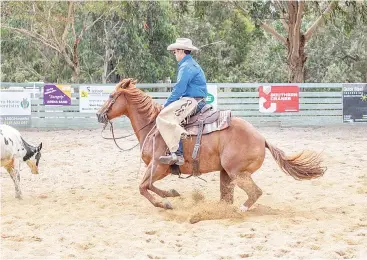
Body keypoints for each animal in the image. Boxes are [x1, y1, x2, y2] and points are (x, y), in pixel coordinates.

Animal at [96, 78, 326, 210]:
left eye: (111, 95)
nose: (99, 115)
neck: (153, 126)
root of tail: (261, 138)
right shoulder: (157, 168)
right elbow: (148, 185)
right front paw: (172, 194)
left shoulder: (159, 165)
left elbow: (143, 187)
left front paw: (165, 202)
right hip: (226, 173)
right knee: (228, 196)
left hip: (237, 172)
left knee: (254, 193)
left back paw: (238, 211)